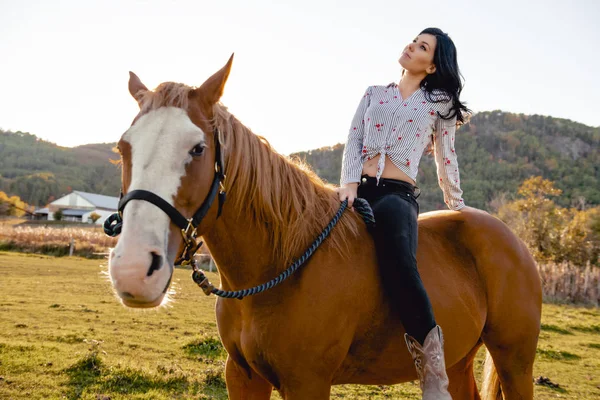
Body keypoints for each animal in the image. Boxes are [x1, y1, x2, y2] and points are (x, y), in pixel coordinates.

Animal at [108, 55, 544, 400]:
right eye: (123, 147)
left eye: (198, 148)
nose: (133, 270)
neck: (281, 263)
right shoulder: (243, 376)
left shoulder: (307, 382)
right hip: (459, 358)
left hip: (515, 361)